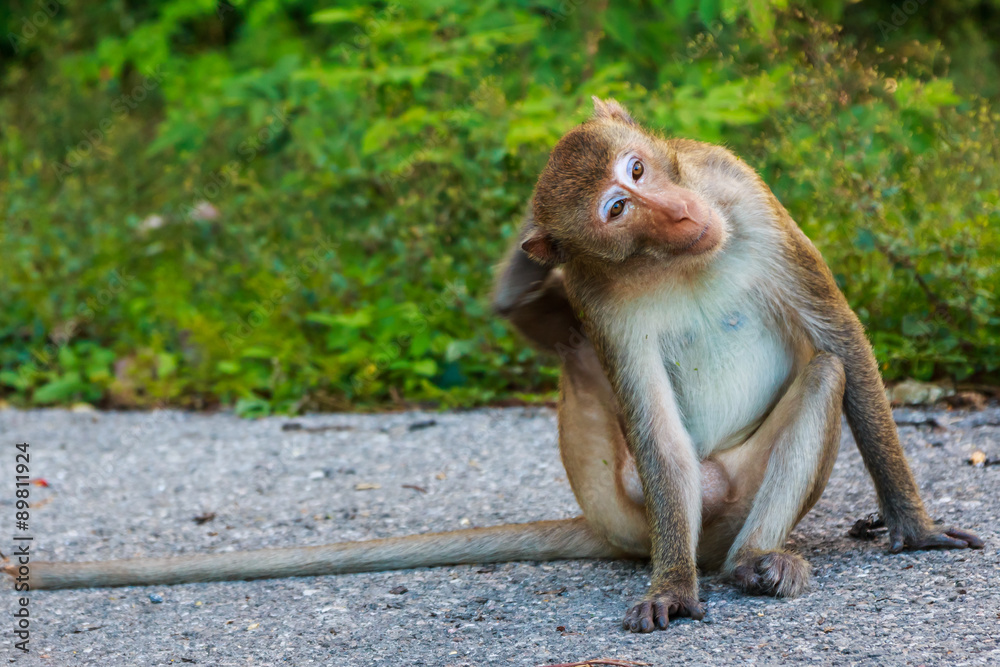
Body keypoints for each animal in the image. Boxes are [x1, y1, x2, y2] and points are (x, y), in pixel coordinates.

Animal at [5, 100, 981, 637]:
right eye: (617, 207)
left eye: (639, 168)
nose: (673, 212)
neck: (677, 258)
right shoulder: (602, 290)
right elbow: (655, 422)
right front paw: (671, 588)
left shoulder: (740, 191)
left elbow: (841, 339)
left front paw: (916, 526)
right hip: (642, 502)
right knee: (615, 399)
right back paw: (702, 564)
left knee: (820, 372)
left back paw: (759, 561)